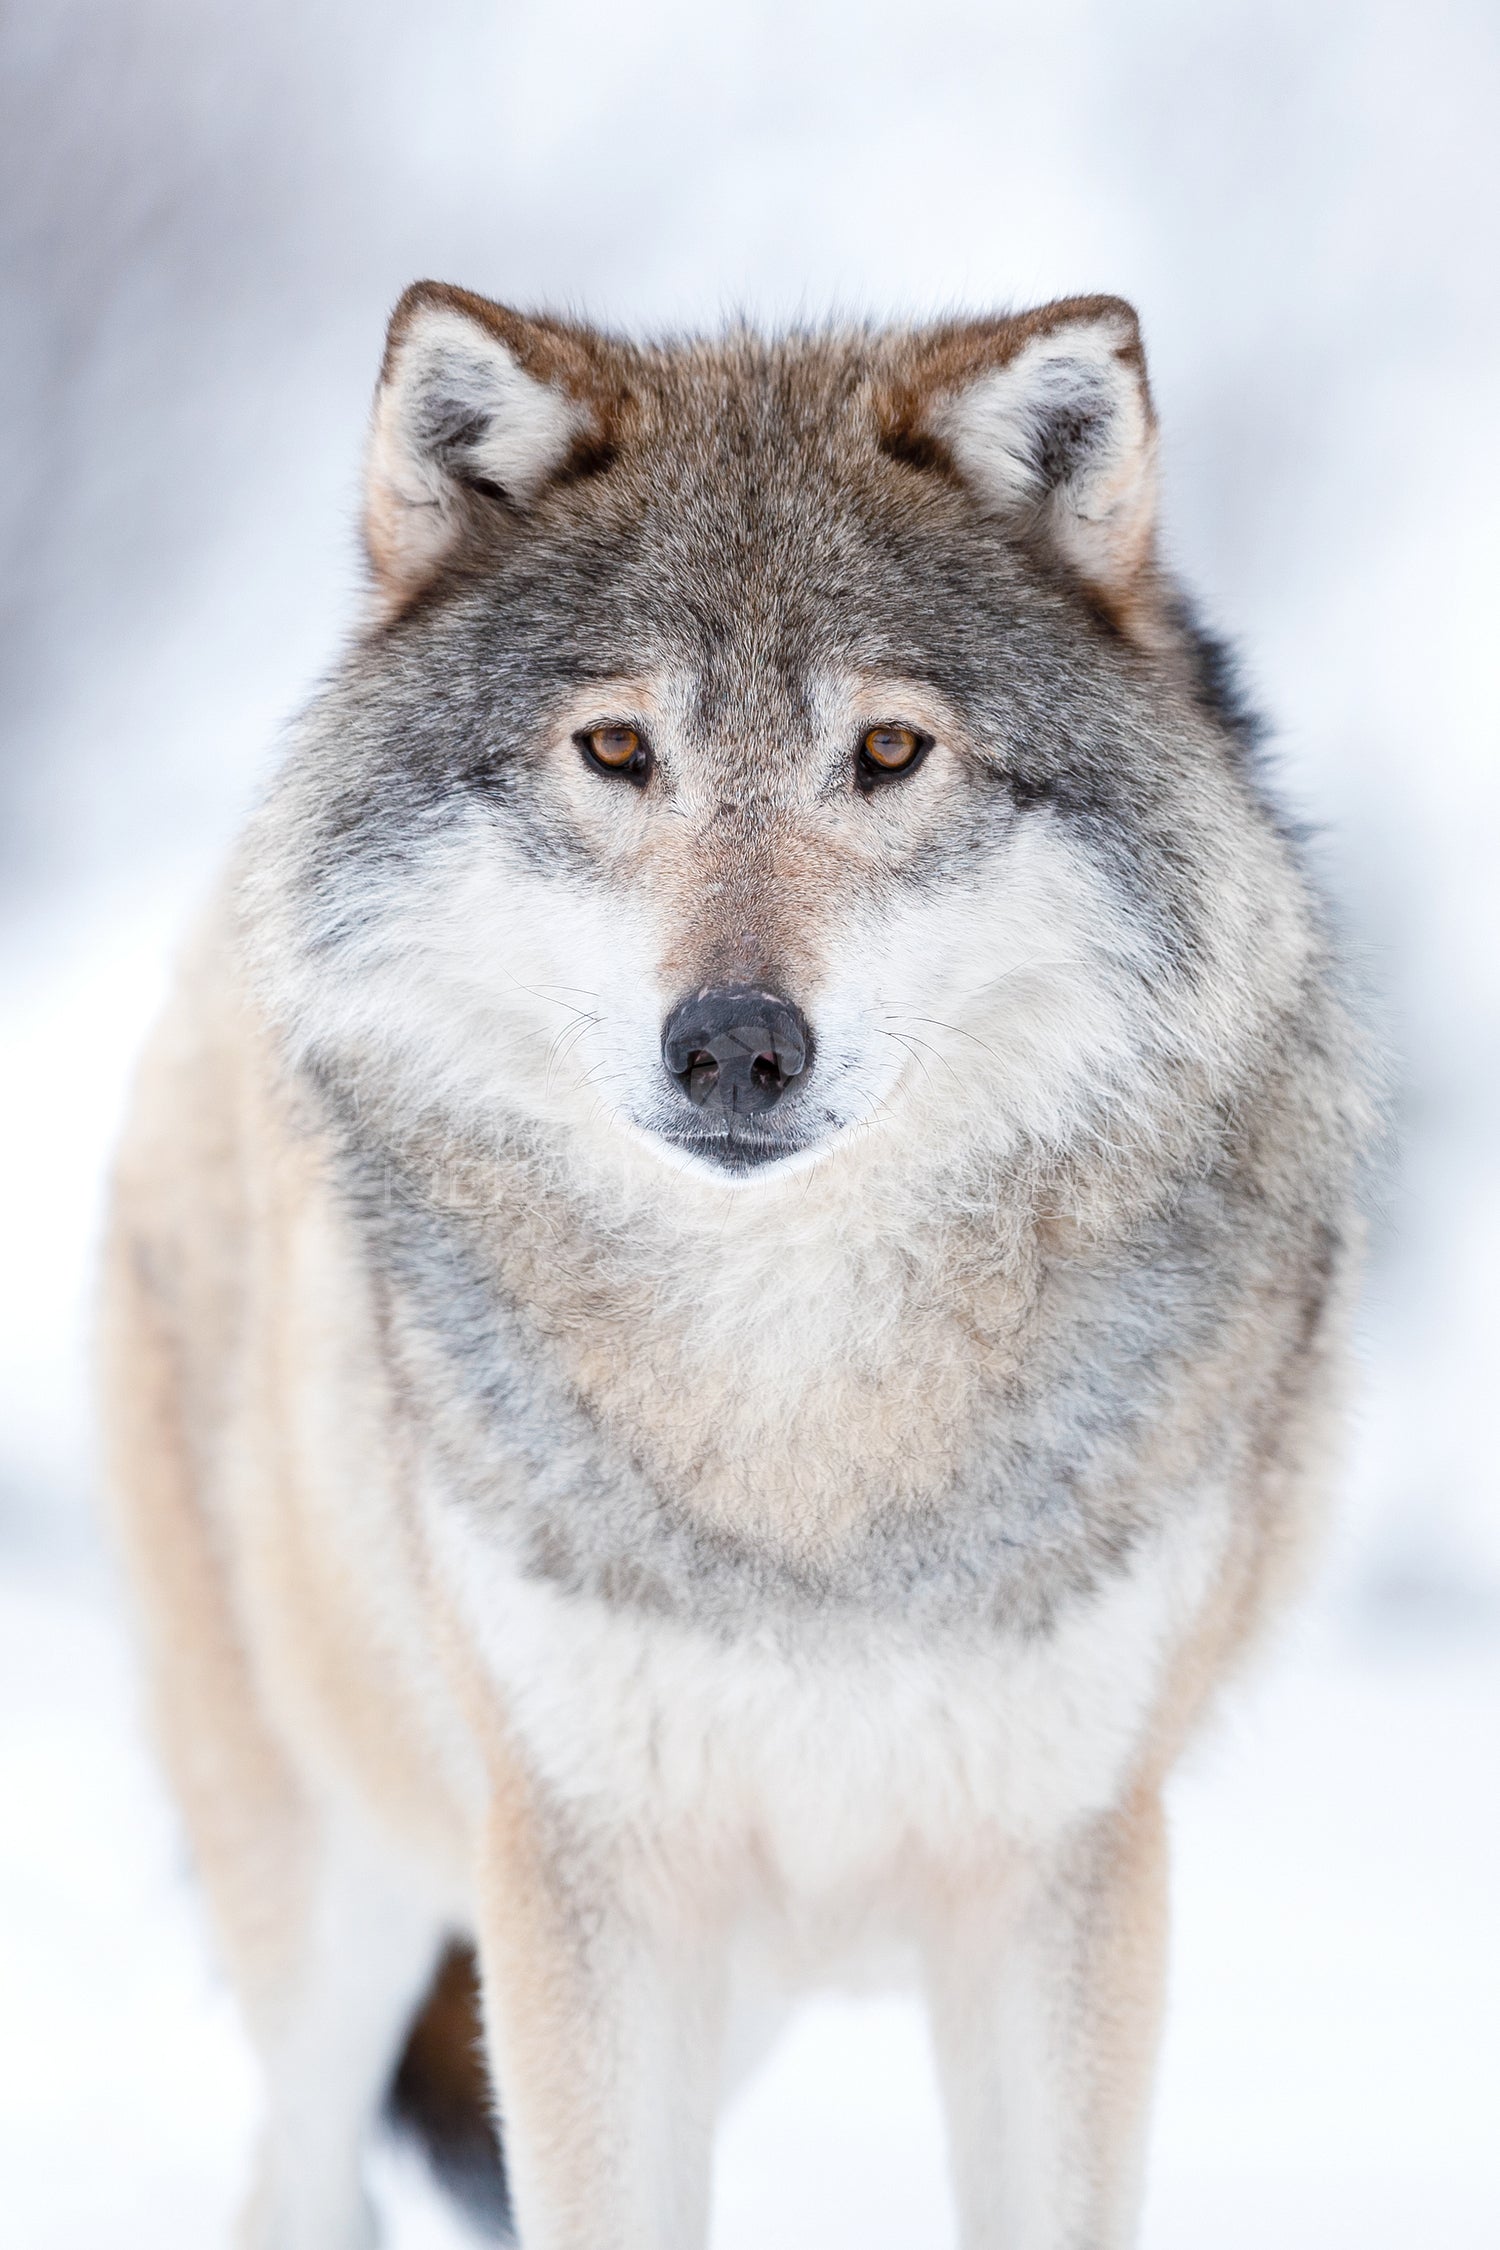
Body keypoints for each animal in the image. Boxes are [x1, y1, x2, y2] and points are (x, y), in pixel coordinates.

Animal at [96, 285, 1376, 2250]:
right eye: (620, 751)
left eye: (889, 753)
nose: (735, 1047)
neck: (798, 1422)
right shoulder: (585, 1886)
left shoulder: (1067, 1879)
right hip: (340, 1880)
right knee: (291, 2167)